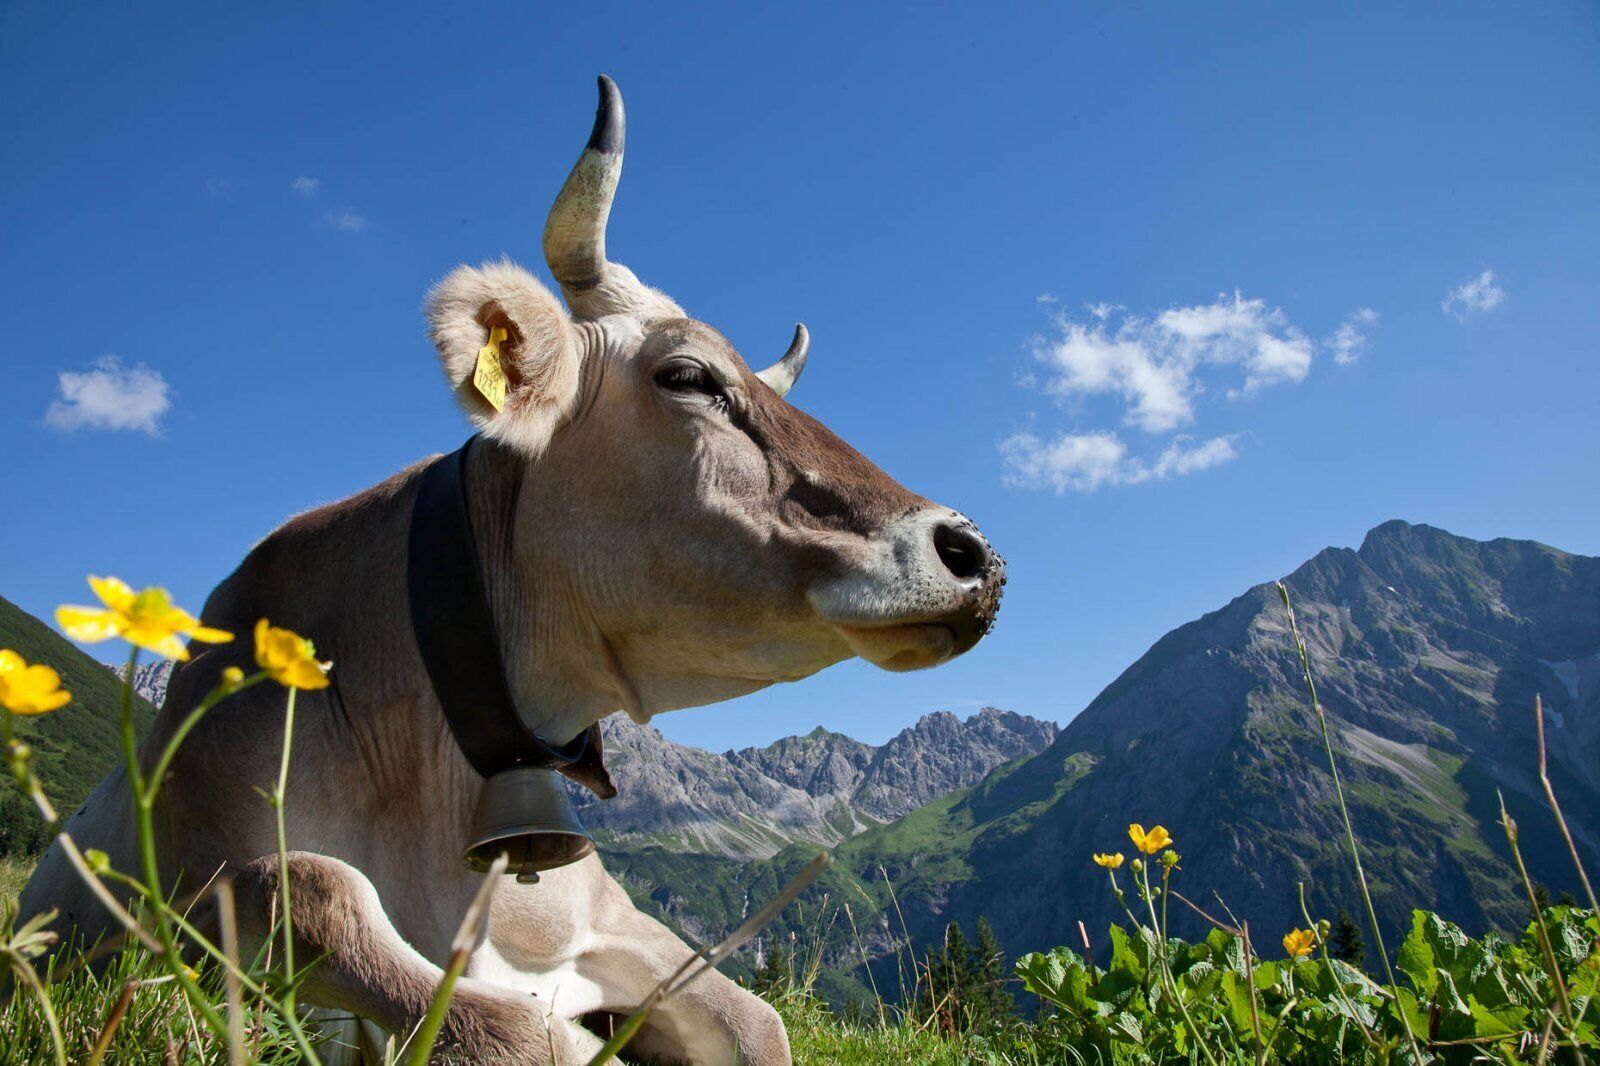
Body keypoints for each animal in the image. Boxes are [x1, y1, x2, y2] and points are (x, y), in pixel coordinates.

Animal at [20, 76, 1004, 1064]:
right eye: (687, 376)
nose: (974, 555)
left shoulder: (616, 920)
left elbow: (758, 1022)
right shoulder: (200, 883)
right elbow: (440, 977)